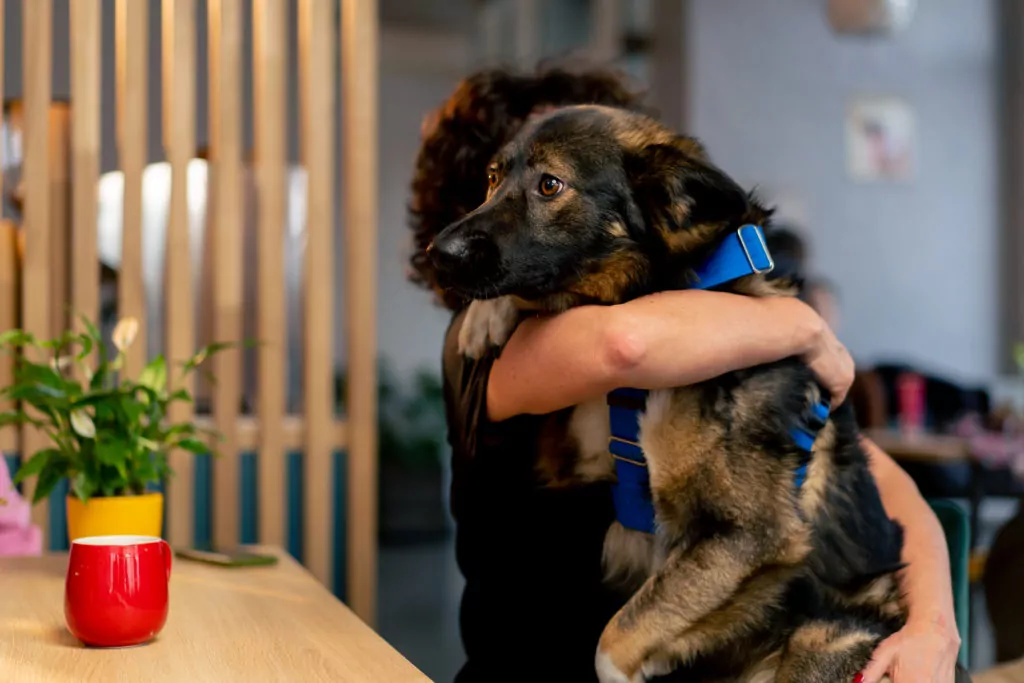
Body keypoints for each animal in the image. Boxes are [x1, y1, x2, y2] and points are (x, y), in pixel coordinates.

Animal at [428, 104, 909, 679]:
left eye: (550, 185)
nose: (437, 253)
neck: (655, 292)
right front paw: (486, 317)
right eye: (492, 178)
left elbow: (614, 640)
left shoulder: (751, 535)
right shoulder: (571, 463)